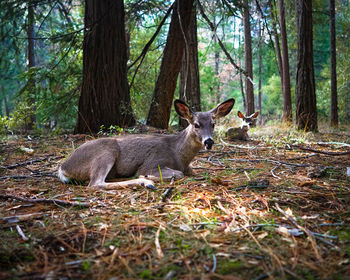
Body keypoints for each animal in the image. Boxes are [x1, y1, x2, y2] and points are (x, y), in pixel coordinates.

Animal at [58, 98, 235, 188]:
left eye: (213, 124)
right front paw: (147, 176)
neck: (178, 155)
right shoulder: (153, 162)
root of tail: (63, 166)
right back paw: (145, 181)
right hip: (106, 152)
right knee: (95, 184)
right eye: (196, 124)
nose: (209, 141)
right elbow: (178, 174)